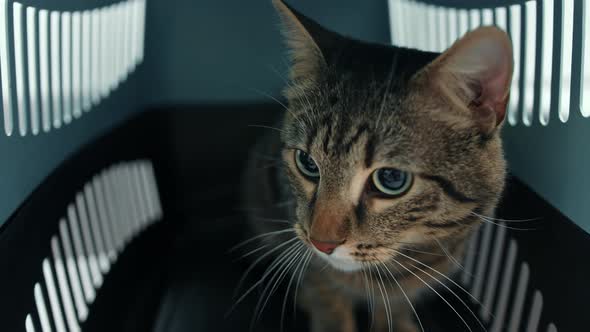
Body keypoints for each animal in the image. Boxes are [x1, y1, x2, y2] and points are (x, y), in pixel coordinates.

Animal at [240, 1, 512, 330]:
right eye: (307, 163)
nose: (321, 244)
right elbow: (327, 302)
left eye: (391, 179)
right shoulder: (311, 267)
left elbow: (394, 304)